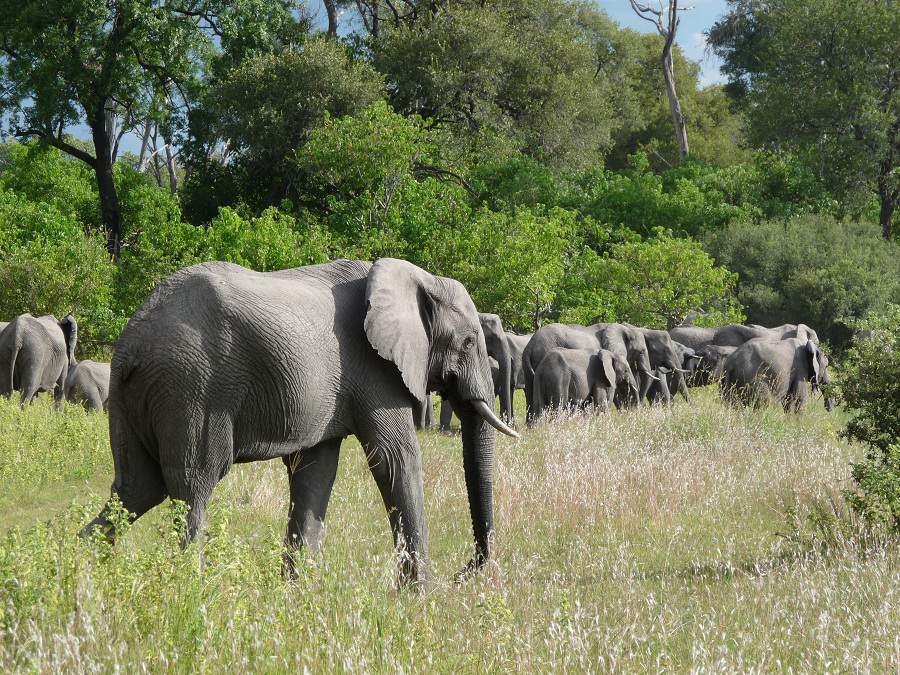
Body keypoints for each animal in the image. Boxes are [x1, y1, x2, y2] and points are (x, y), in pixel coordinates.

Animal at [84, 258, 520, 588]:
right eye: (468, 342)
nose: (463, 574)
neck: (417, 277)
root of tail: (134, 341)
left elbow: (315, 472)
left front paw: (296, 593)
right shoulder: (375, 370)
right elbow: (395, 459)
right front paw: (420, 598)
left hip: (133, 394)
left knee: (137, 489)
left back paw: (79, 575)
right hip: (190, 389)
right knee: (193, 485)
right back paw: (194, 590)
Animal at [520, 324, 652, 422]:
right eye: (641, 351)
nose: (637, 410)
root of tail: (529, 347)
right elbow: (611, 394)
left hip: (529, 370)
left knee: (531, 399)